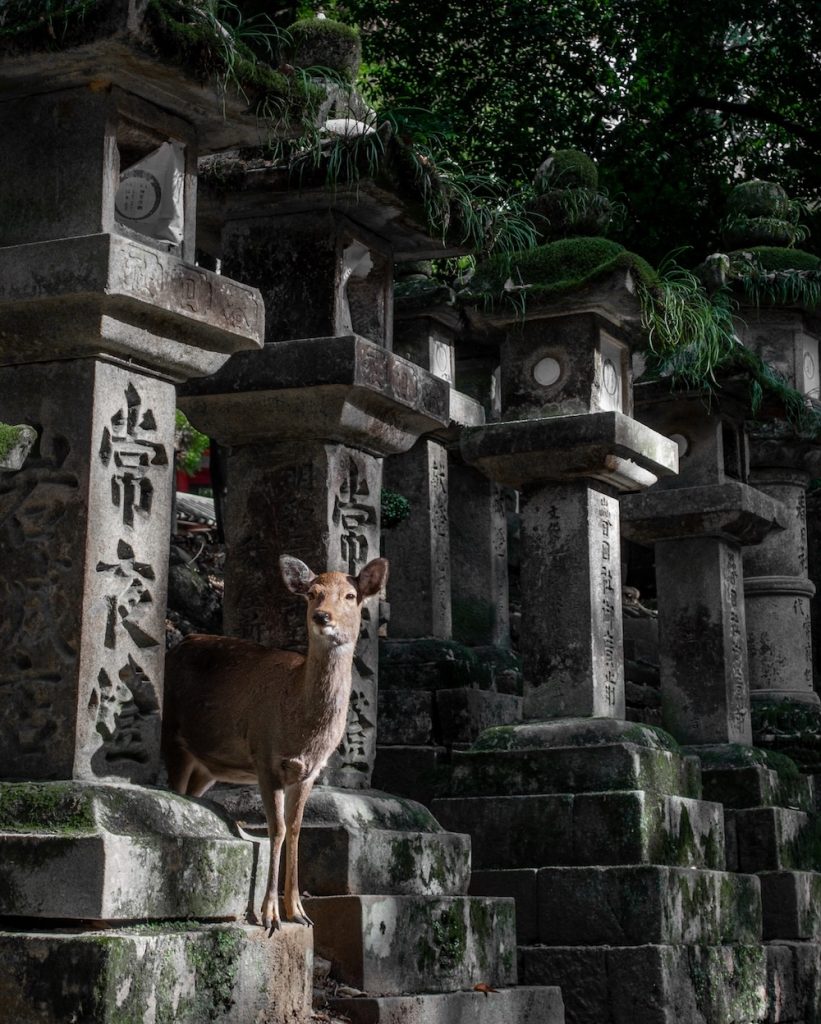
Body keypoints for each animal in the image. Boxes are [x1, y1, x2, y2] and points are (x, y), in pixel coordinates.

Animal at [162, 554, 388, 933]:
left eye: (350, 596)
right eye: (312, 593)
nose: (322, 616)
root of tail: (175, 646)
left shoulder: (310, 771)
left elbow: (296, 829)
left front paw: (298, 911)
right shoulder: (264, 756)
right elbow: (277, 828)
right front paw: (269, 915)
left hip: (207, 767)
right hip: (172, 734)